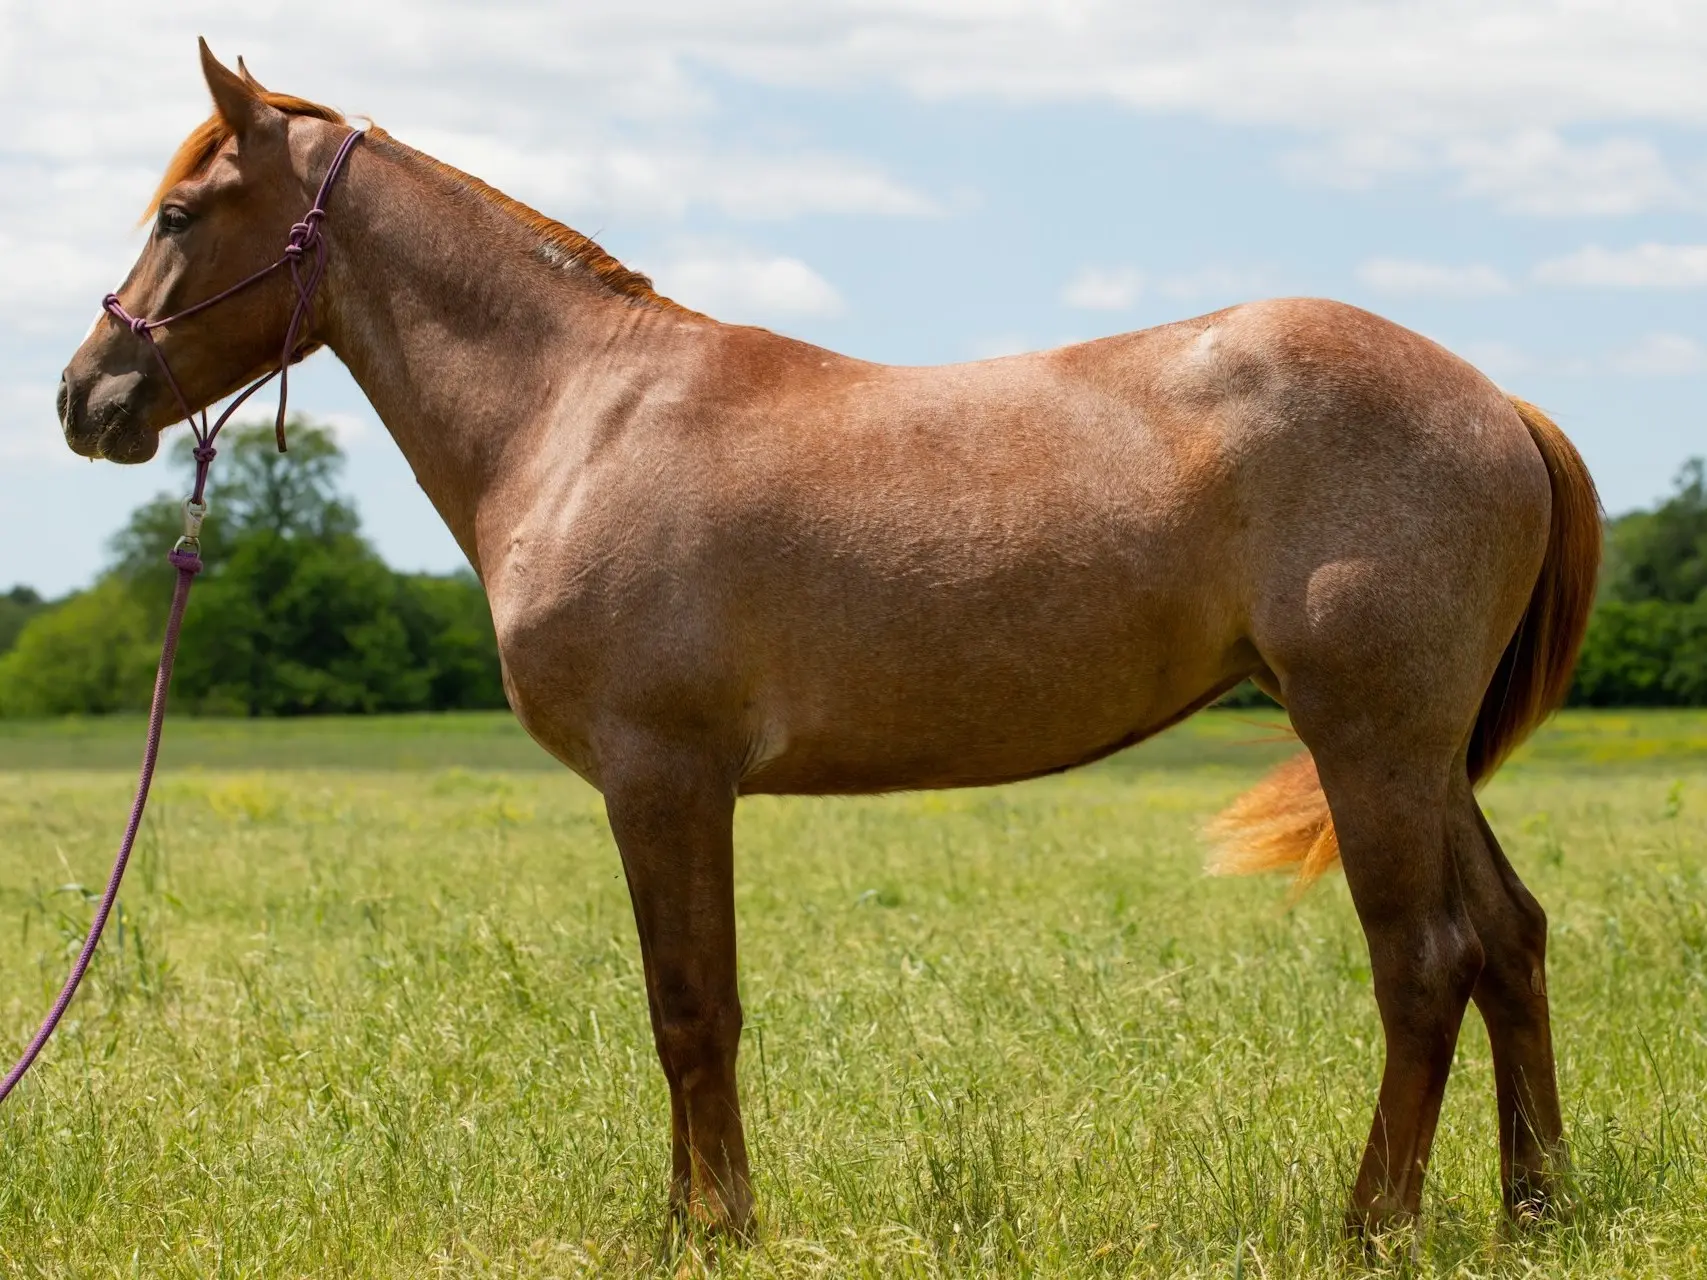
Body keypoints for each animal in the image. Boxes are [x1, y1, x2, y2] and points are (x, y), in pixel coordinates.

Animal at [53, 42, 1597, 1242]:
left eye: (181, 209)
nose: (85, 394)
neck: (580, 412)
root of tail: (1494, 399)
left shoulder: (663, 777)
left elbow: (689, 1008)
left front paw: (710, 1229)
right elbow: (697, 1010)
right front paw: (702, 1216)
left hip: (1368, 739)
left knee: (1425, 962)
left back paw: (1373, 1221)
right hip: (1419, 755)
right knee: (1508, 939)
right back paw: (1533, 1206)